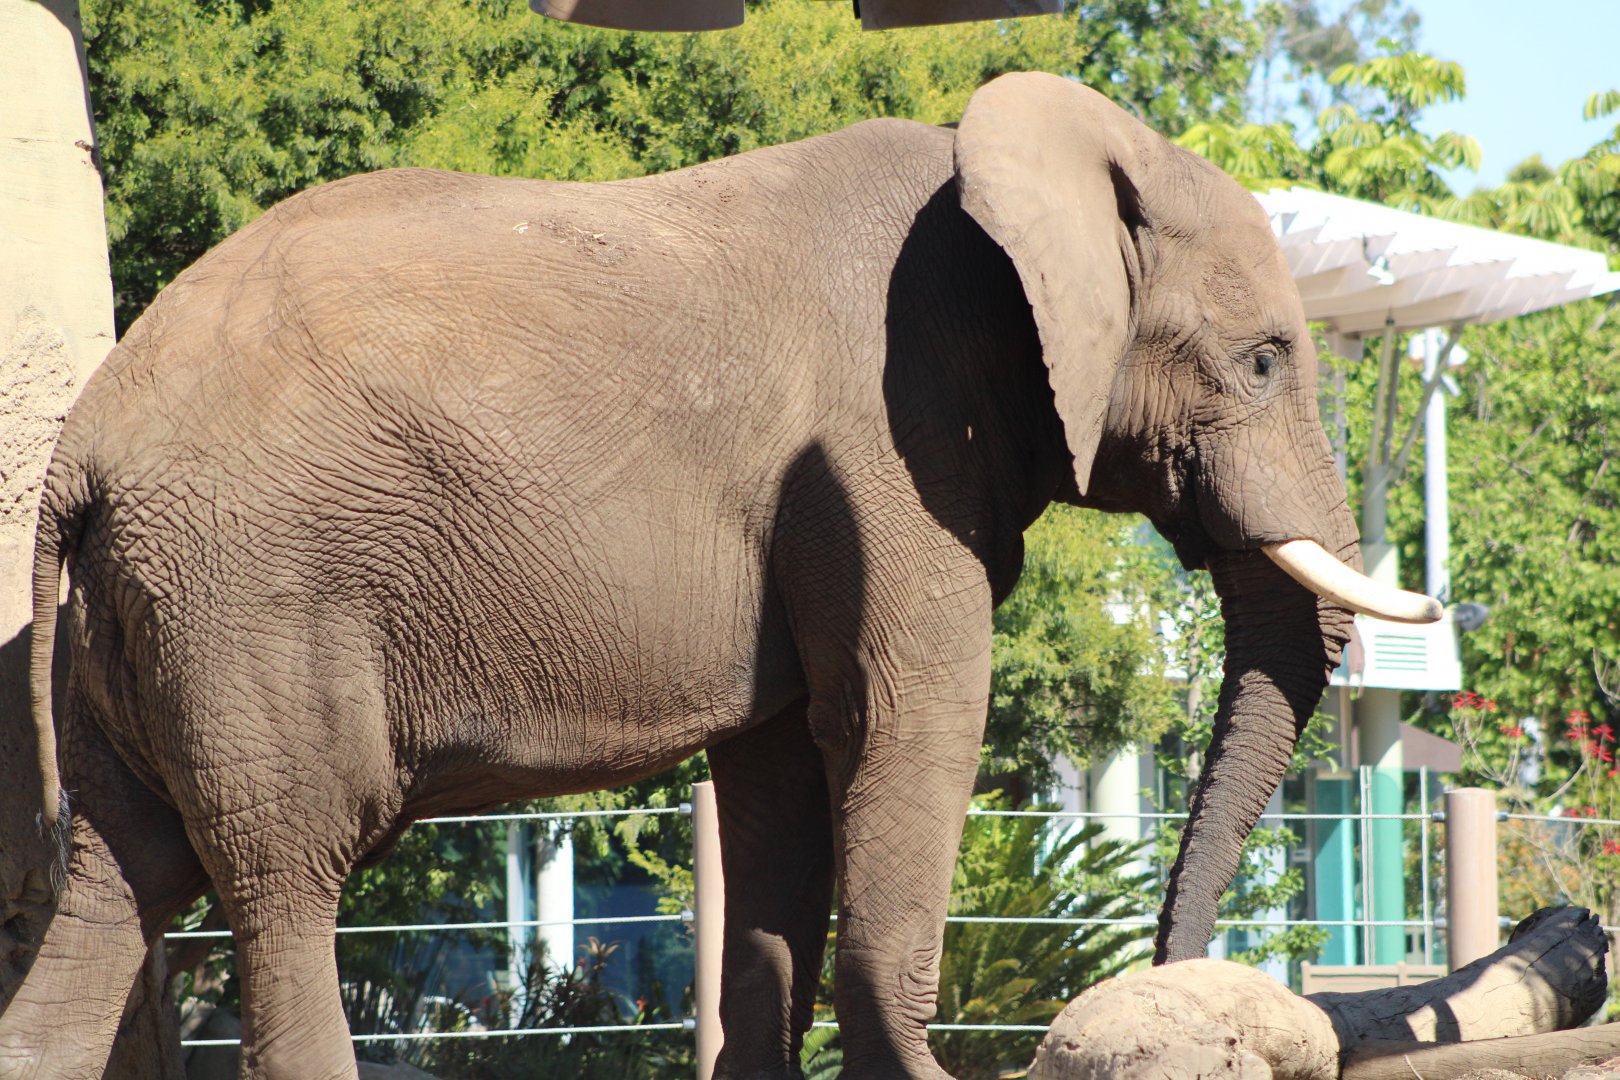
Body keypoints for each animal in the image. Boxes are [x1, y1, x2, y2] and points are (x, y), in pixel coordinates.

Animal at [1, 71, 1438, 1080]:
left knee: (120, 883)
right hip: (246, 600)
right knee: (283, 875)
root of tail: (83, 448)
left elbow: (780, 781)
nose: (1178, 988)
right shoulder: (883, 448)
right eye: (1263, 361)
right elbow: (912, 719)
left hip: (141, 618)